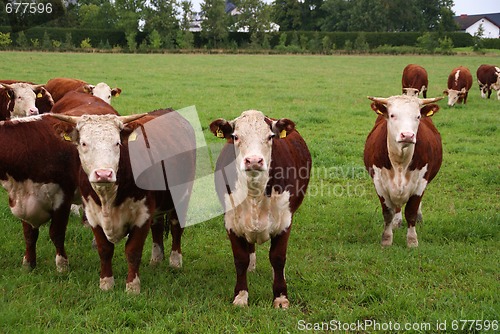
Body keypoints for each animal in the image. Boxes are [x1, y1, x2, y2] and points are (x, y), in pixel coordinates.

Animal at [50, 109, 195, 292]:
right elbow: (104, 249)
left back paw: (175, 261)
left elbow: (133, 251)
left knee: (176, 227)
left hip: (181, 197)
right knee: (157, 226)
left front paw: (132, 287)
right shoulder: (93, 215)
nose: (103, 174)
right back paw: (156, 260)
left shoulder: (142, 215)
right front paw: (106, 283)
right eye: (83, 143)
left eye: (117, 143)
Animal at [209, 110, 310, 308]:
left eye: (270, 136)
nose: (254, 160)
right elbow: (240, 259)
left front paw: (280, 297)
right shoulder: (231, 222)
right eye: (235, 136)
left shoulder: (285, 221)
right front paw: (241, 296)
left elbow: (278, 258)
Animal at [364, 95, 442, 247]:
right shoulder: (379, 183)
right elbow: (388, 212)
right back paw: (397, 222)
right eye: (392, 115)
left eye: (418, 116)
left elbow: (411, 212)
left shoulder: (421, 183)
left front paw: (412, 241)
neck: (400, 161)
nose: (407, 135)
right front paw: (387, 239)